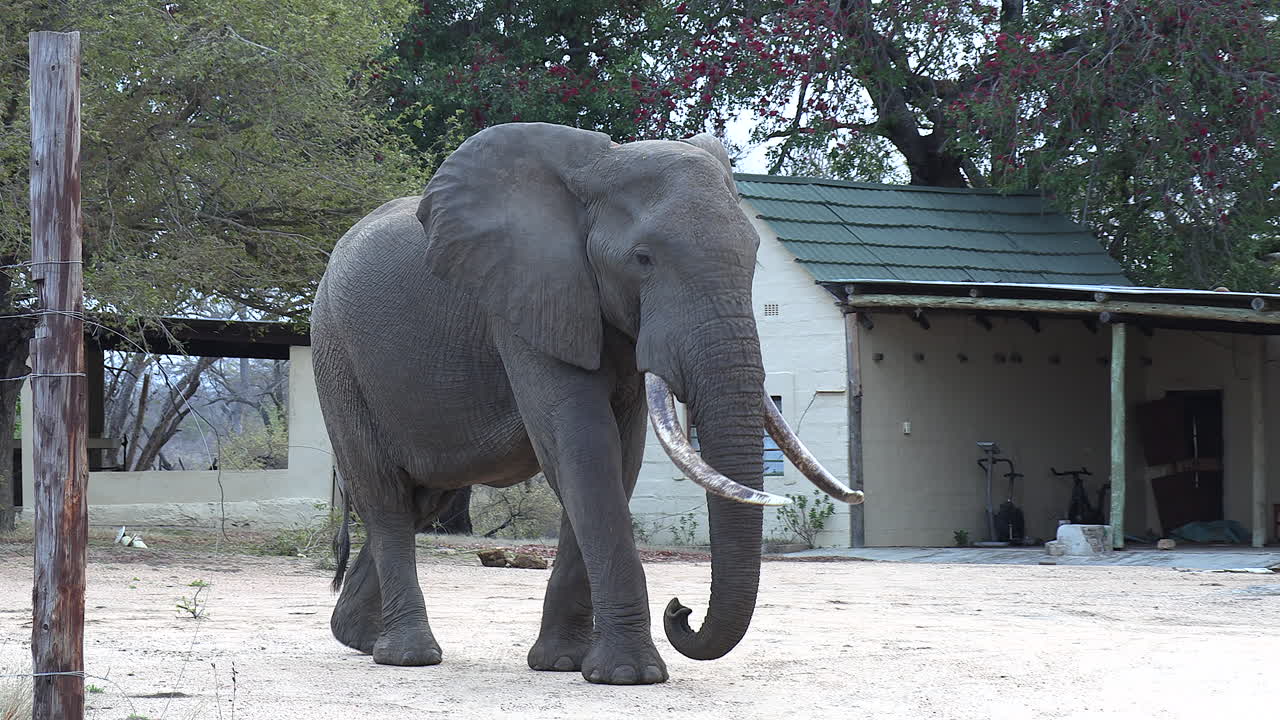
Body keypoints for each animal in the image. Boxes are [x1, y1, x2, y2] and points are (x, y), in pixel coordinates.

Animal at [311, 122, 863, 685]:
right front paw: (631, 675)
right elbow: (583, 446)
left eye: (753, 257)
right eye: (643, 259)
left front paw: (562, 664)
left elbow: (619, 459)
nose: (681, 609)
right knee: (385, 496)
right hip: (336, 357)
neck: (597, 169)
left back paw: (358, 637)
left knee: (423, 499)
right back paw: (408, 655)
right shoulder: (524, 300)